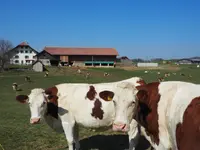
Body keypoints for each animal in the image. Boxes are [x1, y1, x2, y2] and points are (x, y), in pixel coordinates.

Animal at [14, 77, 146, 150]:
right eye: (29, 103)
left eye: (44, 102)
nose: (35, 120)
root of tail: (138, 80)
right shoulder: (75, 122)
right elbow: (76, 138)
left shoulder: (67, 121)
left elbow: (69, 140)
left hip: (131, 123)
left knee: (132, 139)